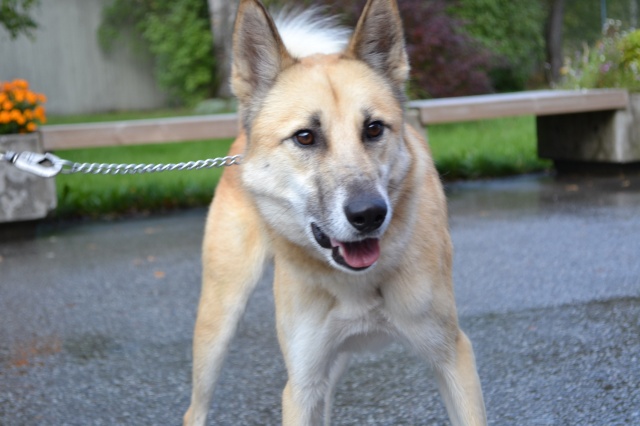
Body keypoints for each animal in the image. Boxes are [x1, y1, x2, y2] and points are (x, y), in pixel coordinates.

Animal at [183, 0, 486, 424]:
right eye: (305, 137)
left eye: (373, 129)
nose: (370, 214)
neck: (357, 285)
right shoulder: (301, 386)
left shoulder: (452, 357)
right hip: (219, 319)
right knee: (194, 409)